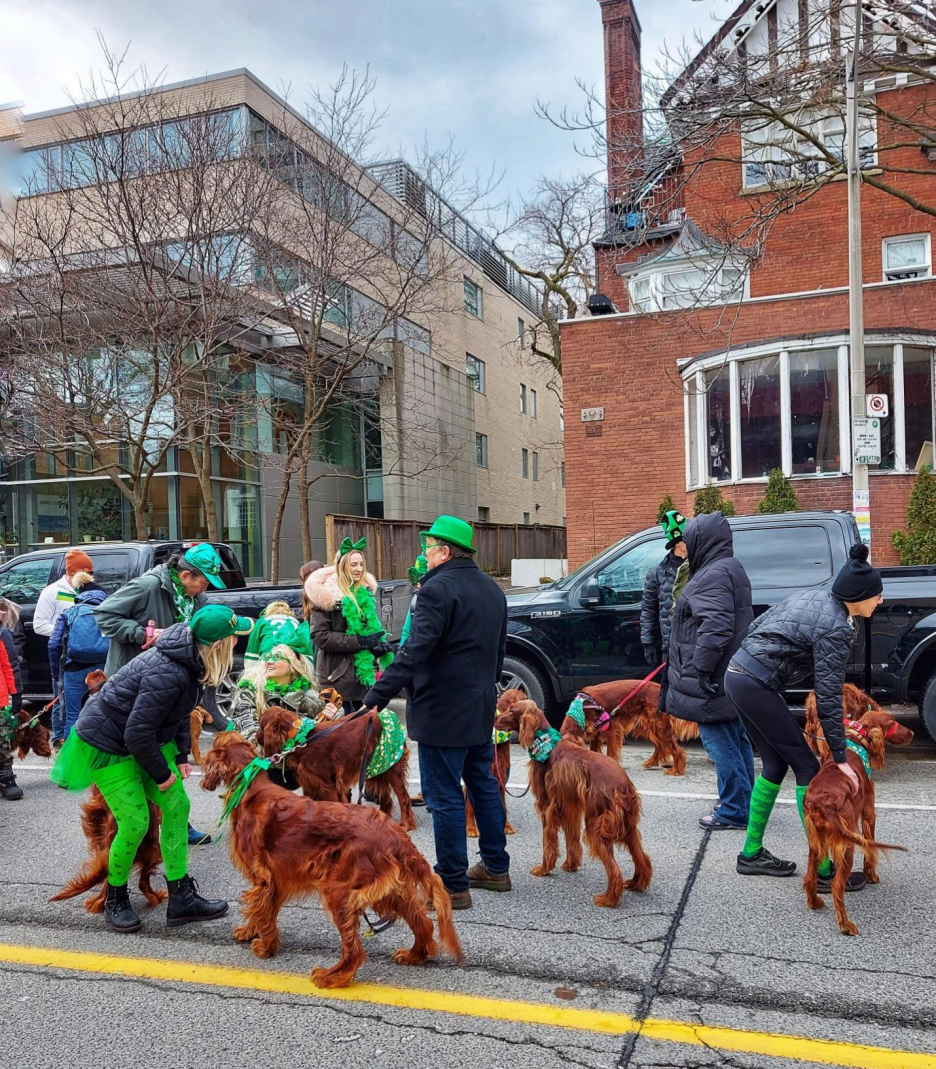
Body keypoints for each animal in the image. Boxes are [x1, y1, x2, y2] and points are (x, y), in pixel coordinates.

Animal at [200, 731, 462, 988]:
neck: (250, 789)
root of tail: (396, 835)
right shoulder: (274, 880)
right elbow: (263, 910)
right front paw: (252, 933)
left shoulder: (263, 878)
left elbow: (262, 912)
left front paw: (265, 947)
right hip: (389, 891)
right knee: (423, 923)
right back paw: (413, 955)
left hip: (339, 890)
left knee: (355, 951)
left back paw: (332, 976)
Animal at [257, 705, 416, 832]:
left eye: (260, 725)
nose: (256, 736)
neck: (304, 739)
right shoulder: (310, 783)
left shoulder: (329, 786)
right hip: (378, 766)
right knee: (387, 799)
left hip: (392, 767)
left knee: (404, 798)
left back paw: (405, 824)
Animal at [465, 688, 522, 839]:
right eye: (525, 698)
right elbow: (469, 805)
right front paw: (471, 828)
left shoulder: (500, 776)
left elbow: (502, 805)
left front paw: (506, 826)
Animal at [495, 698, 652, 907]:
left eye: (511, 711)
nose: (494, 720)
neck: (546, 744)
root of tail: (623, 784)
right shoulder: (569, 806)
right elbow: (571, 838)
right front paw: (570, 865)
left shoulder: (547, 806)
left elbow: (548, 842)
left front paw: (544, 869)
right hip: (628, 825)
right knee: (641, 856)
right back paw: (637, 883)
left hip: (596, 825)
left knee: (614, 869)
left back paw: (609, 898)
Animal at [802, 687, 913, 936]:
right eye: (892, 722)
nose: (912, 732)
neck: (856, 740)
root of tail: (822, 803)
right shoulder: (869, 813)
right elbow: (870, 849)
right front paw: (872, 876)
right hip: (847, 844)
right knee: (836, 886)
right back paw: (845, 924)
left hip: (816, 841)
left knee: (810, 875)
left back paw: (814, 902)